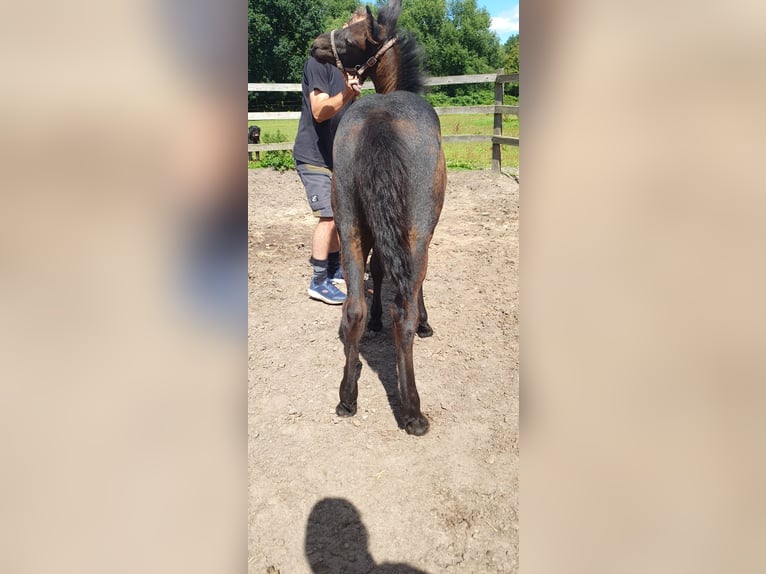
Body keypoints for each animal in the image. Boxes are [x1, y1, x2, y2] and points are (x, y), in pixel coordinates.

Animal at [311, 0, 447, 436]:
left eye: (351, 34)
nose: (316, 44)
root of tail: (379, 119)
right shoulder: (421, 234)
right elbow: (411, 285)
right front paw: (425, 322)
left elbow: (379, 271)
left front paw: (373, 324)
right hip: (416, 231)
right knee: (402, 312)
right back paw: (413, 412)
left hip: (351, 225)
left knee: (353, 308)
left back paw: (347, 398)